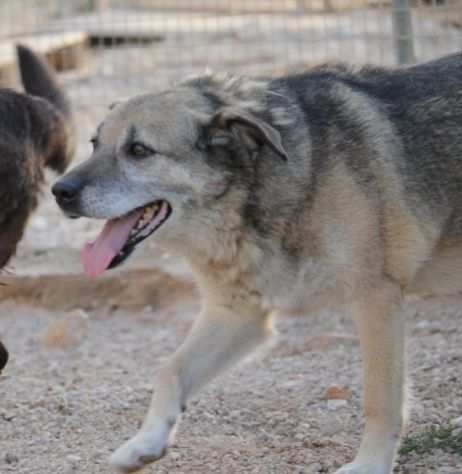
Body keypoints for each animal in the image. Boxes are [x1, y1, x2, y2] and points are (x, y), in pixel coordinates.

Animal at [53, 52, 462, 474]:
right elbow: (170, 370)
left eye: (138, 150)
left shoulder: (376, 298)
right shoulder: (238, 315)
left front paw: (370, 465)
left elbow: (380, 398)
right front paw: (145, 442)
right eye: (94, 144)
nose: (59, 191)